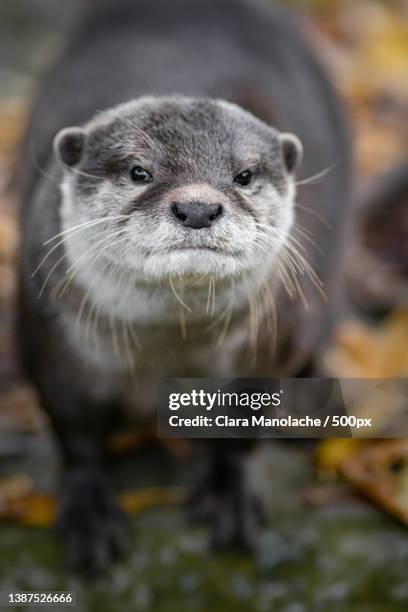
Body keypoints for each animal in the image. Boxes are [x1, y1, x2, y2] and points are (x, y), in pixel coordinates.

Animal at [17, 0, 352, 572]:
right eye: (138, 171)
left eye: (244, 175)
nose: (197, 207)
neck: (168, 356)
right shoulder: (56, 346)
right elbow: (75, 434)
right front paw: (88, 511)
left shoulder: (267, 347)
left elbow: (245, 430)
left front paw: (231, 490)